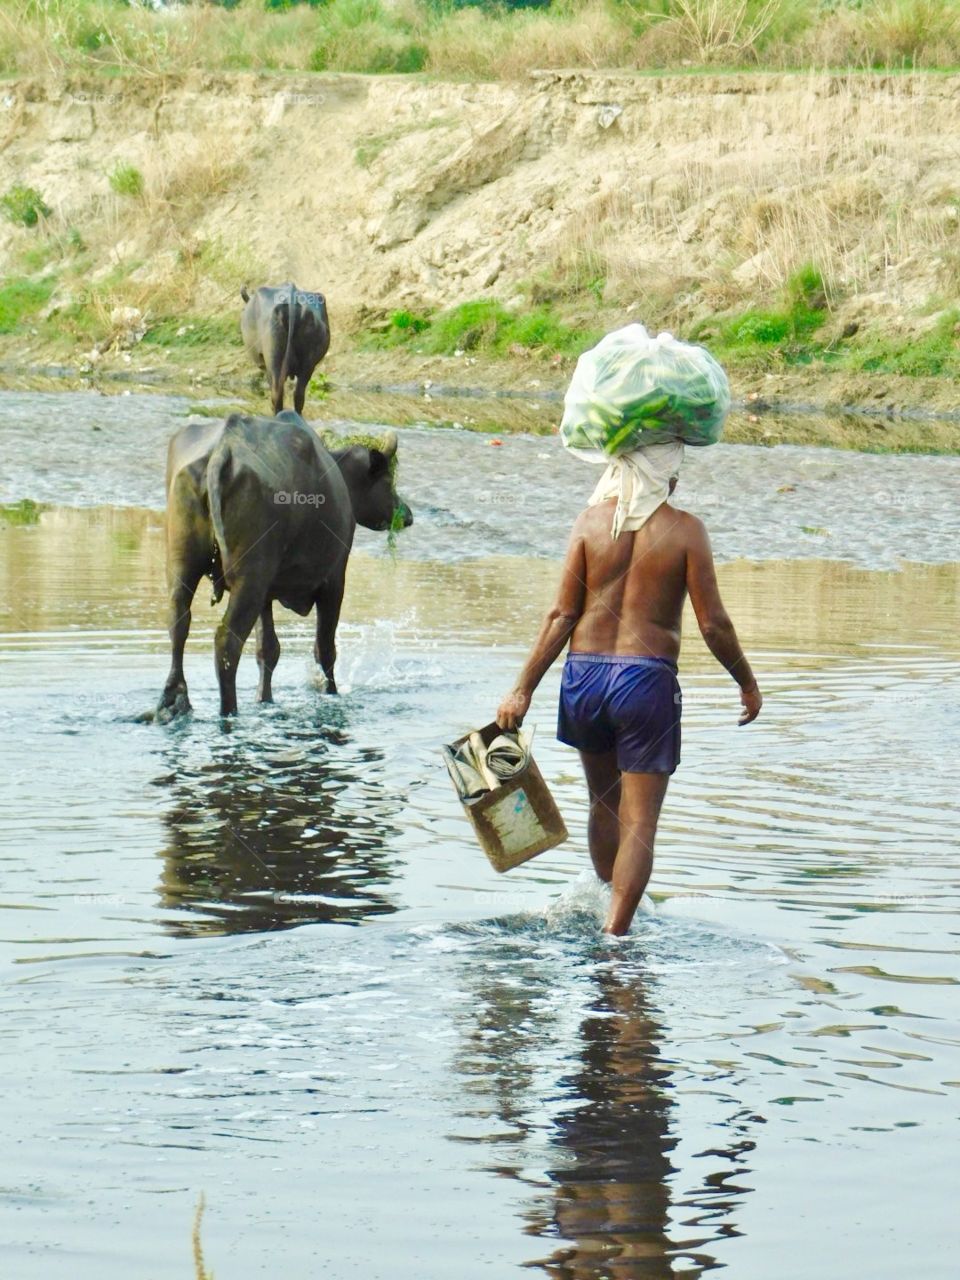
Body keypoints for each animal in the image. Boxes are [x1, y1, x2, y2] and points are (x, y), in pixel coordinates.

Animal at [158, 412, 414, 721]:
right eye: (388, 480)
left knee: (178, 623)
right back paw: (228, 711)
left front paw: (264, 699)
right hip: (249, 578)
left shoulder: (267, 593)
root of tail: (224, 447)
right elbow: (324, 649)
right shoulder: (334, 580)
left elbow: (268, 649)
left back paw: (173, 701)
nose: (407, 515)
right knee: (226, 641)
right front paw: (330, 693)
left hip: (182, 565)